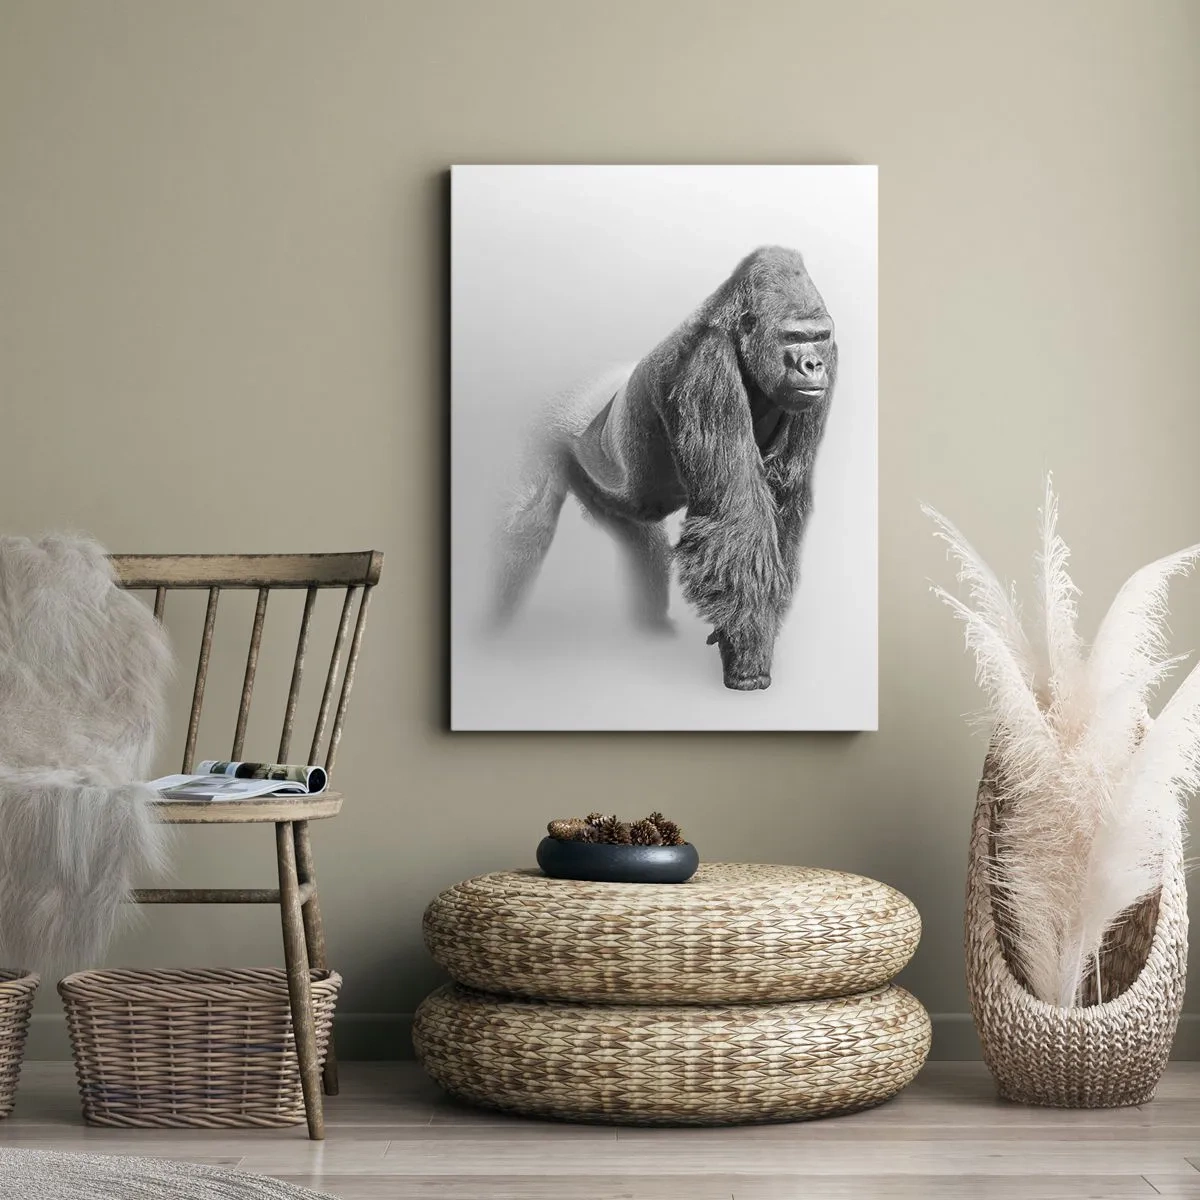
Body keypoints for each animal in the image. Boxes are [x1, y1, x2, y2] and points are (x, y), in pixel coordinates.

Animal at [492, 245, 837, 691]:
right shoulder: (705, 367)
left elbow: (785, 506)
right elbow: (737, 519)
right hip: (543, 425)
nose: (813, 366)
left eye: (820, 337)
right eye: (794, 337)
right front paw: (749, 663)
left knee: (644, 546)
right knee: (524, 527)